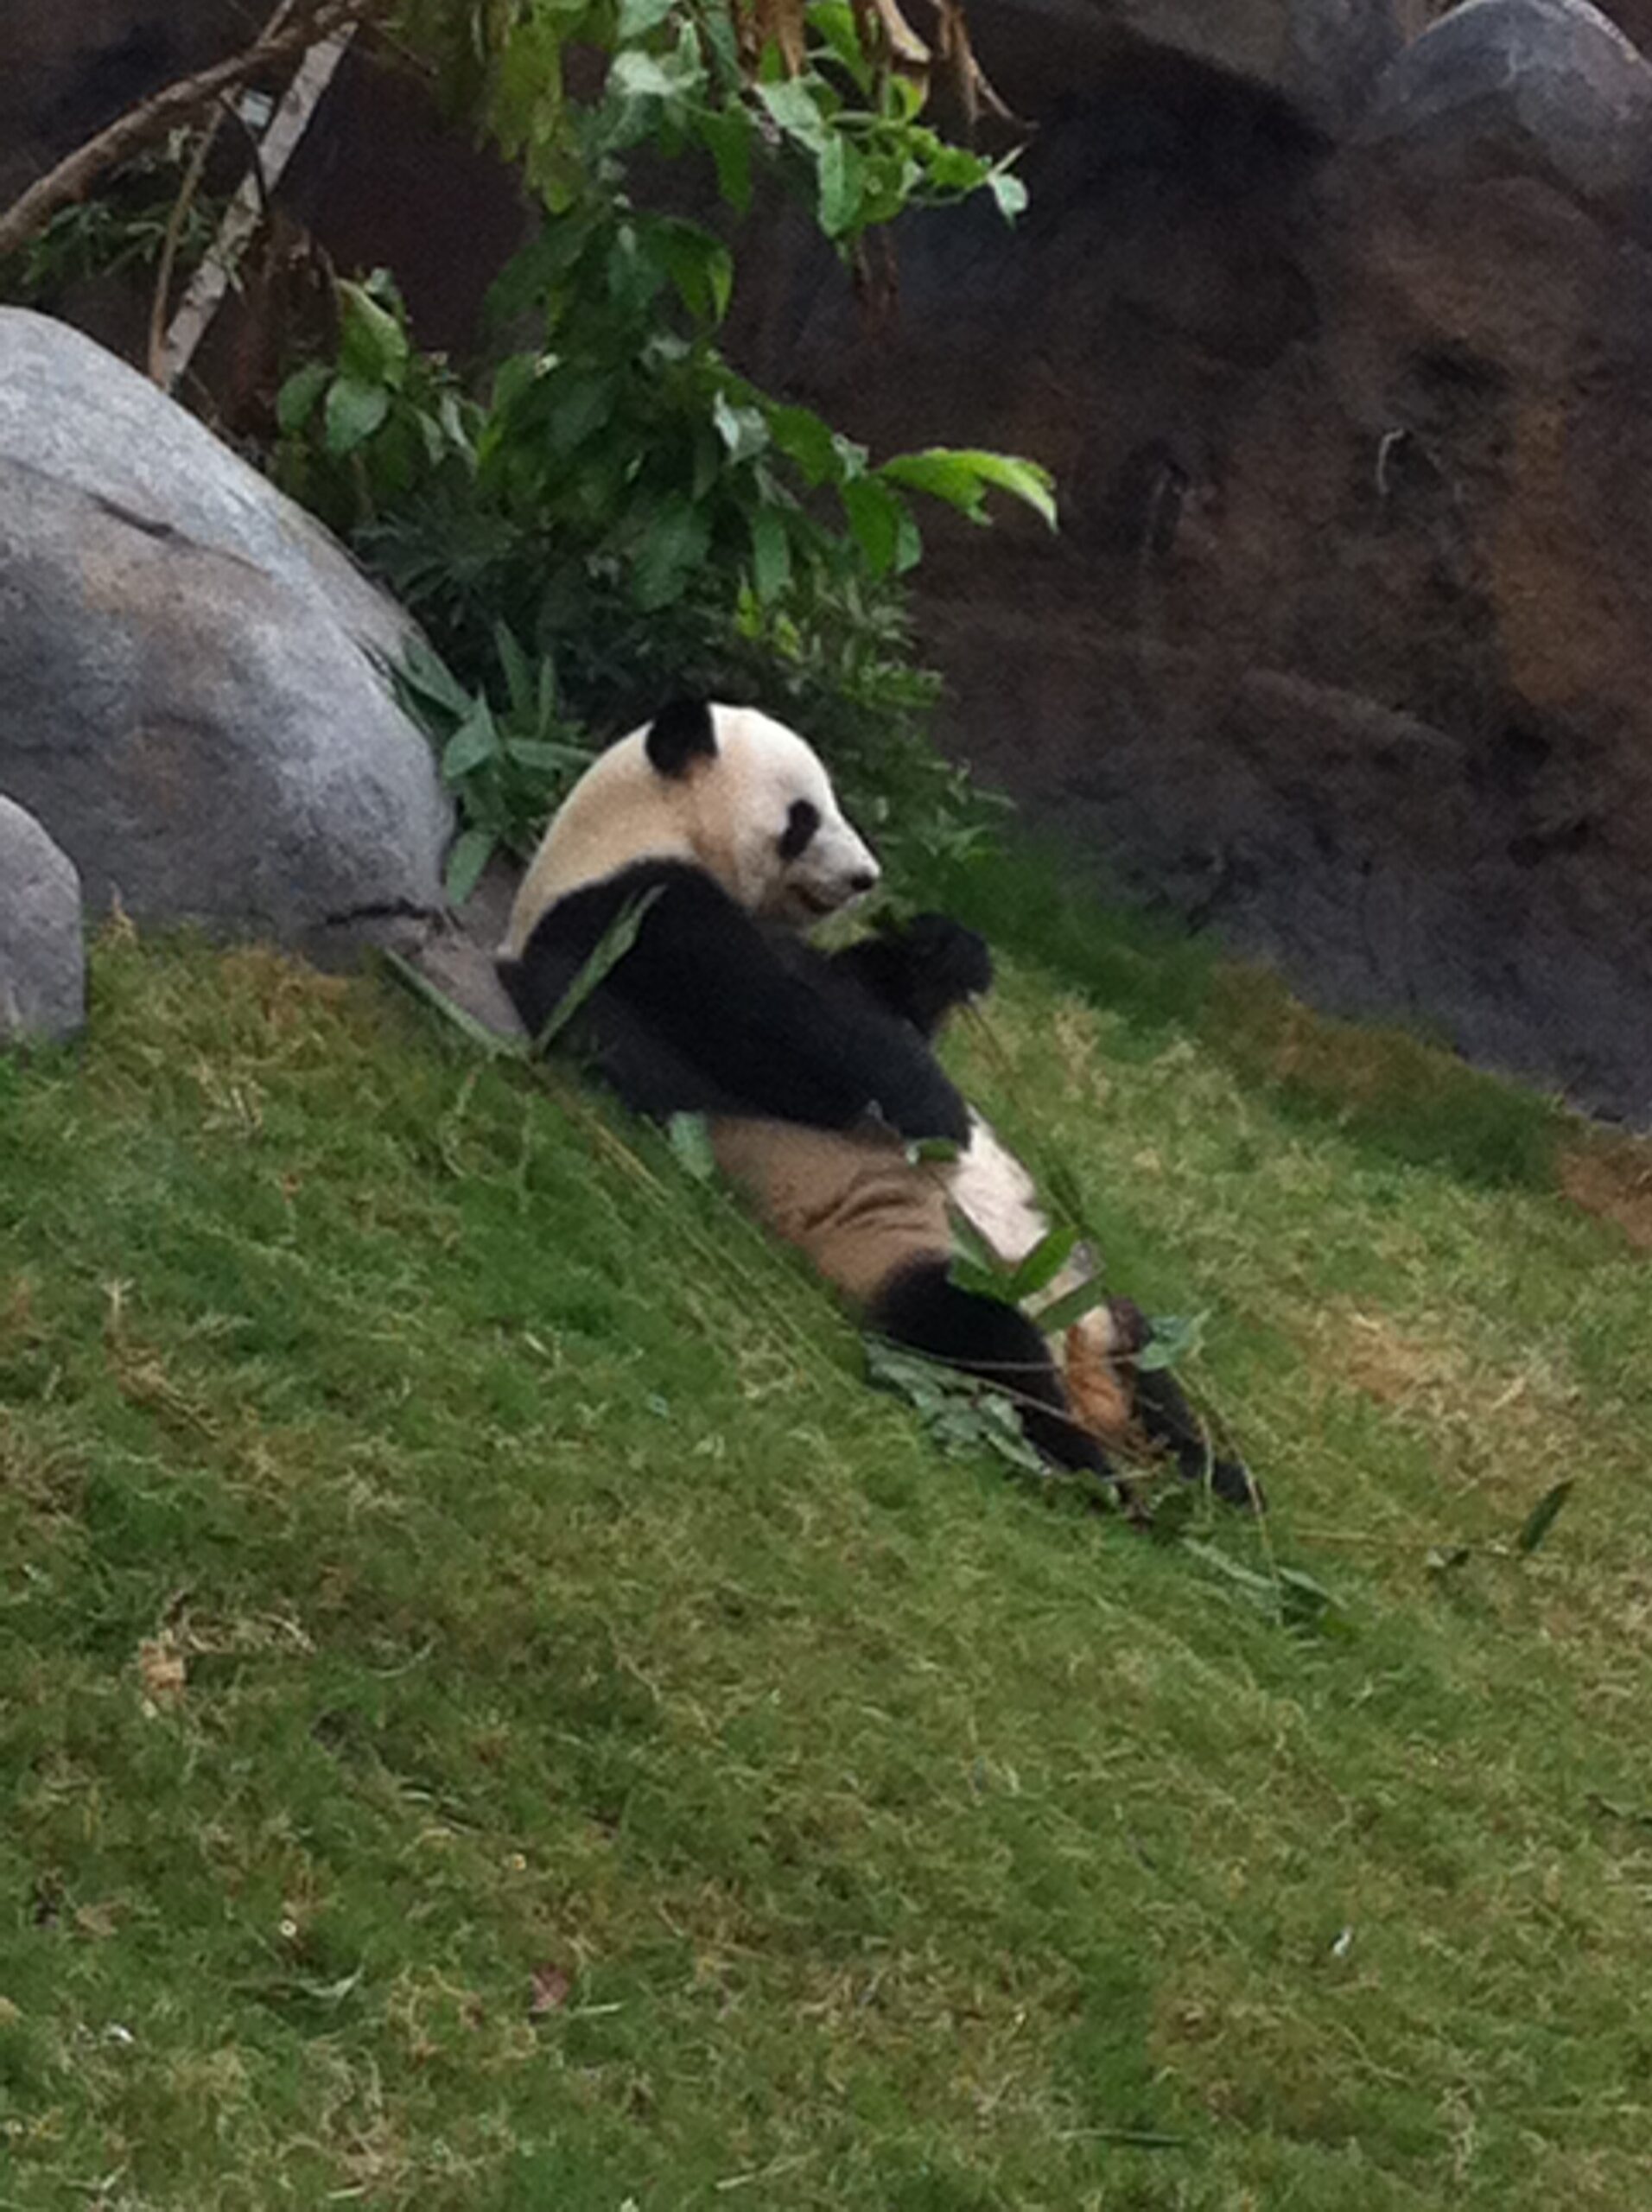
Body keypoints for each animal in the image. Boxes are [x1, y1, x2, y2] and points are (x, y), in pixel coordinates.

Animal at [497, 697, 1252, 1505]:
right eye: (804, 816)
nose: (866, 878)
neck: (635, 827)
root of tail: (1073, 1357)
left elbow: (881, 997)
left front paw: (945, 948)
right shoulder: (636, 915)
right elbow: (791, 1038)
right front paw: (941, 1114)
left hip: (1087, 1293)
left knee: (1149, 1369)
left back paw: (1220, 1481)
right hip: (921, 1258)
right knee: (982, 1343)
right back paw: (1105, 1478)